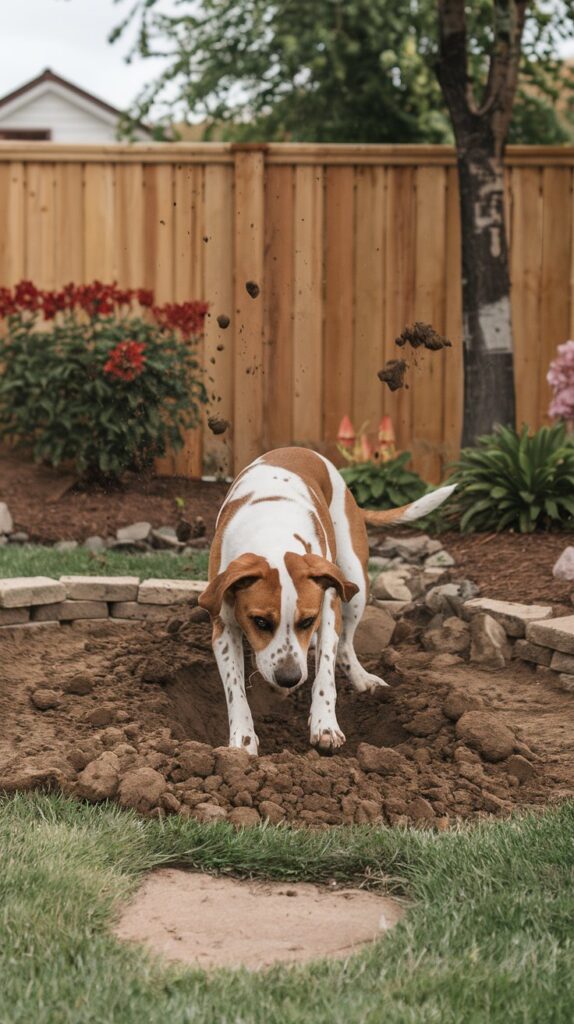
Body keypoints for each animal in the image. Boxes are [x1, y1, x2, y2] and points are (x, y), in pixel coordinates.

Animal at [199, 452, 454, 757]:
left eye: (307, 621)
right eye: (260, 621)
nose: (289, 677)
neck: (272, 534)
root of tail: (299, 450)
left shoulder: (328, 607)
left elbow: (325, 675)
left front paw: (325, 724)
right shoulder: (223, 625)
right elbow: (235, 688)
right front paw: (243, 739)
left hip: (355, 578)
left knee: (344, 646)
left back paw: (361, 678)